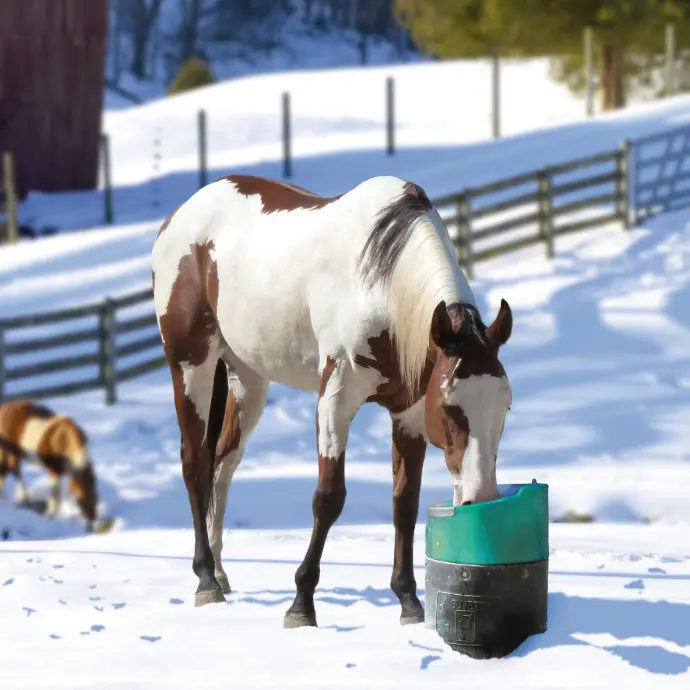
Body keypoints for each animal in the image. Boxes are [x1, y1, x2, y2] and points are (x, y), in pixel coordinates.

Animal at [0, 398, 99, 528]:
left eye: (96, 496)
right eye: (79, 498)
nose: (91, 523)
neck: (64, 440)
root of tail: (4, 407)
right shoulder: (54, 472)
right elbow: (55, 497)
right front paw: (51, 515)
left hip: (15, 453)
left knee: (11, 469)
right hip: (8, 450)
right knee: (11, 469)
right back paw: (22, 496)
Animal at [153, 171, 512, 624]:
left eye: (505, 407)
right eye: (450, 407)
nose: (480, 498)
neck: (382, 285)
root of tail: (178, 219)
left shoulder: (409, 415)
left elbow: (405, 503)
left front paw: (408, 599)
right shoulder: (336, 400)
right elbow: (328, 498)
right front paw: (301, 603)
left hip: (248, 379)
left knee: (222, 464)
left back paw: (219, 572)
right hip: (190, 366)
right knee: (195, 463)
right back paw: (205, 579)